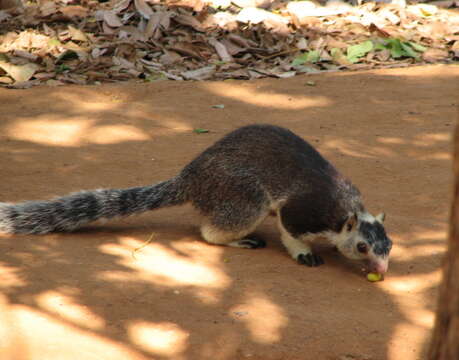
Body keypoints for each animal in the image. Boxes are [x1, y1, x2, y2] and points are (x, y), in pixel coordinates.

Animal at [1, 124, 394, 272]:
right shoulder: (303, 211)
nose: (381, 270)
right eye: (363, 247)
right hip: (243, 196)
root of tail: (191, 179)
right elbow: (290, 229)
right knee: (213, 231)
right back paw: (237, 239)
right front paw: (304, 253)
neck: (348, 211)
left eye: (390, 247)